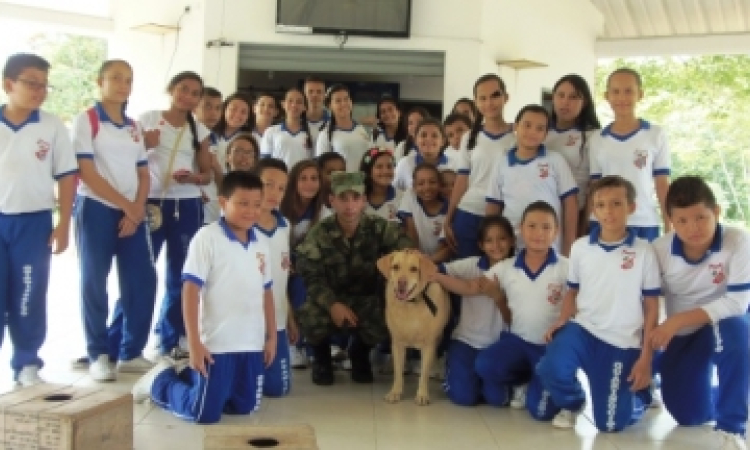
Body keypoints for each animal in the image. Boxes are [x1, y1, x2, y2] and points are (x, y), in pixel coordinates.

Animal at [378, 250, 450, 404]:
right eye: (396, 267)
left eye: (414, 269)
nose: (401, 282)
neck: (410, 304)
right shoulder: (397, 343)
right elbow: (398, 372)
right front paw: (395, 392)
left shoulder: (428, 344)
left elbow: (424, 373)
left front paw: (422, 395)